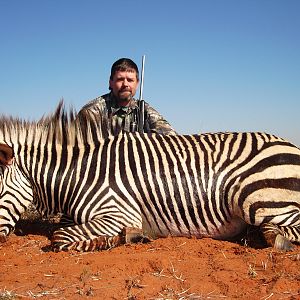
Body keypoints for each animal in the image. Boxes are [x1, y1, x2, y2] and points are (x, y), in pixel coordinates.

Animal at [0, 102, 298, 252]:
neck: (81, 172)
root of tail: (291, 146)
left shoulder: (118, 213)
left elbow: (59, 237)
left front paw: (119, 239)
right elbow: (63, 229)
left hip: (257, 199)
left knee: (281, 229)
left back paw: (276, 238)